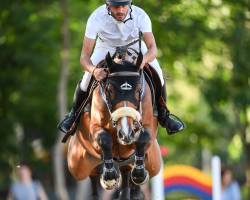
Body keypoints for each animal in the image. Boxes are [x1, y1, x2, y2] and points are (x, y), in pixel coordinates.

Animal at [66, 52, 161, 200]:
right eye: (110, 91)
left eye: (138, 90)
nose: (126, 134)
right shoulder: (95, 128)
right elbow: (104, 139)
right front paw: (109, 177)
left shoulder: (147, 126)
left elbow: (142, 138)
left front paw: (139, 173)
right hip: (77, 164)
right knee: (92, 174)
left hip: (153, 163)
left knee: (126, 173)